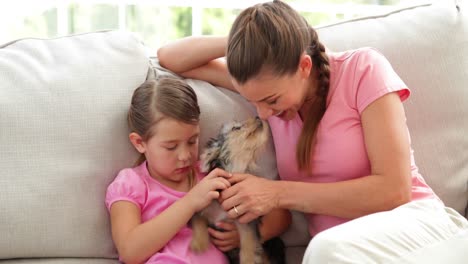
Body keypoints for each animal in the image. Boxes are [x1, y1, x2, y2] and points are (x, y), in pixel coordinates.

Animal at [190, 117, 286, 264]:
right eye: (236, 128)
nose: (258, 117)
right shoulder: (204, 208)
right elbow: (198, 221)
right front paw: (199, 243)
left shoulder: (247, 220)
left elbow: (248, 242)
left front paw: (248, 260)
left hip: (275, 245)